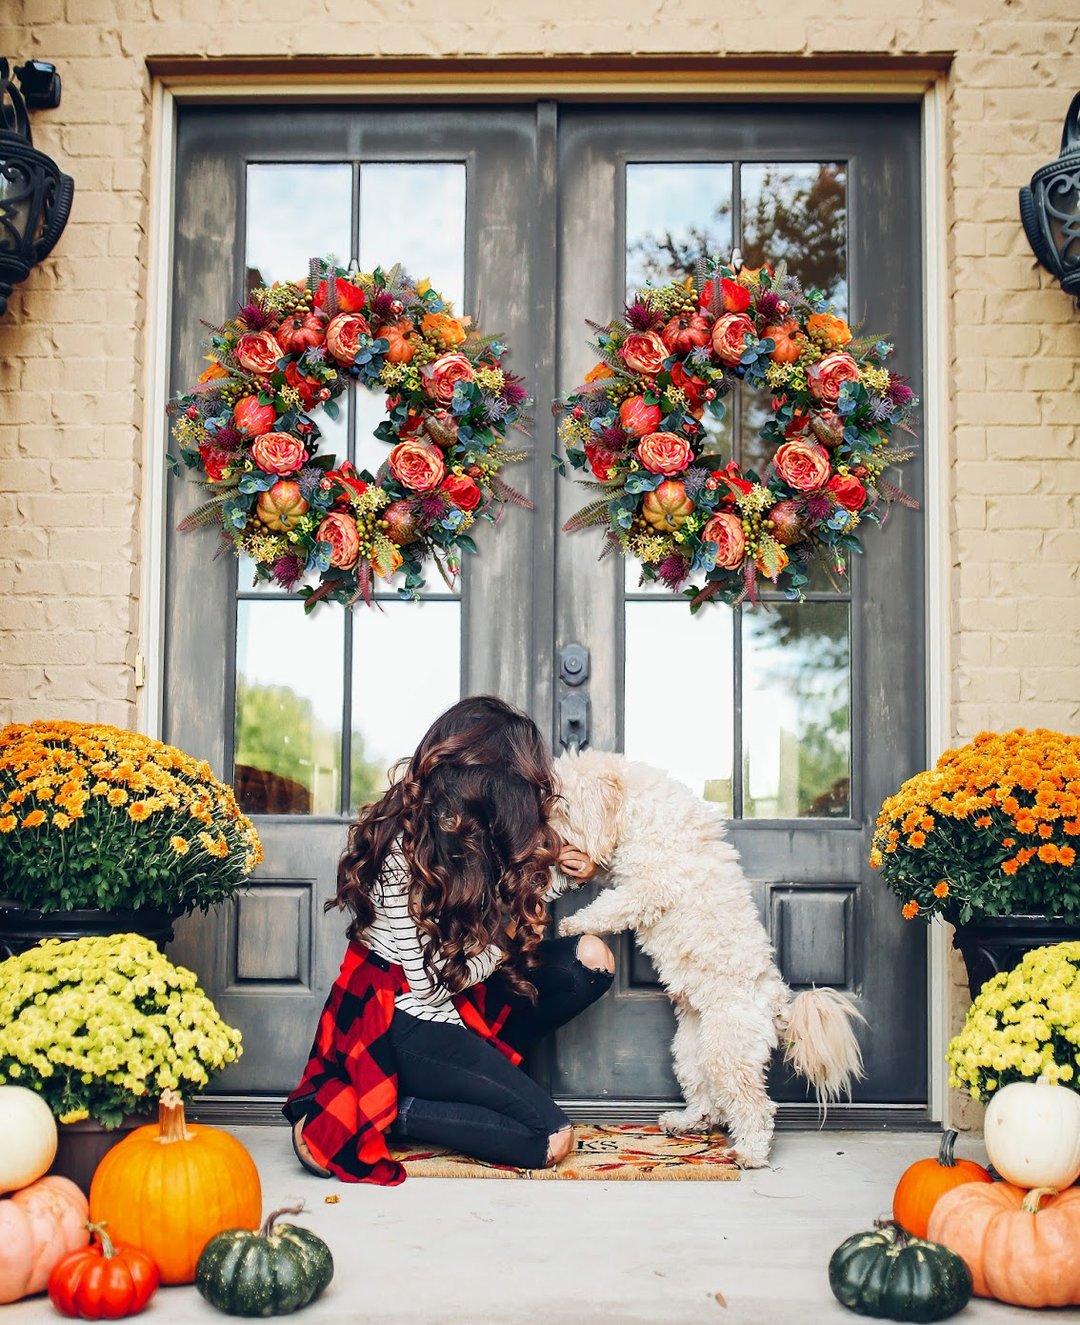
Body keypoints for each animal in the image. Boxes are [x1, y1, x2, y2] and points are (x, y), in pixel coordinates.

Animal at [553, 752, 864, 1166]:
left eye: (563, 806)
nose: (546, 834)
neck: (642, 813)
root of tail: (776, 1004)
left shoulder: (647, 889)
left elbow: (609, 907)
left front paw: (572, 923)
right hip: (690, 1052)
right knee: (708, 1101)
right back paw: (686, 1123)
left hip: (726, 1052)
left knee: (756, 1108)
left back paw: (748, 1152)